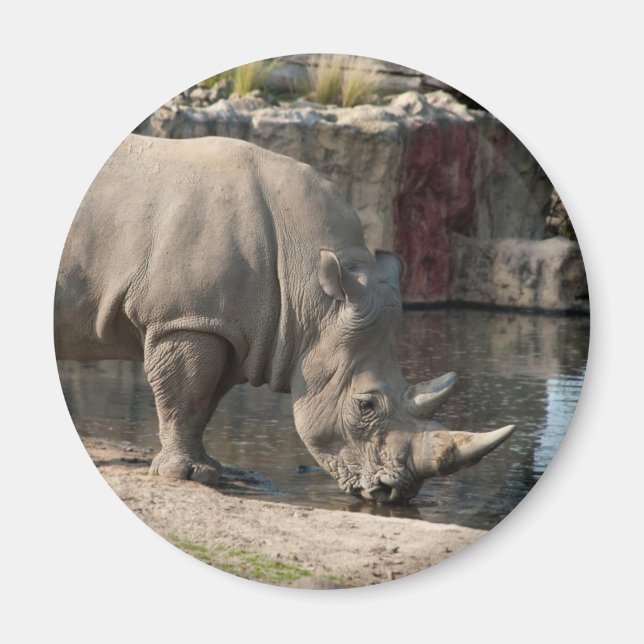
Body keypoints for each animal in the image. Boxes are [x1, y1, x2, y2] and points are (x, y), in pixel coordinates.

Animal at [55, 133, 515, 503]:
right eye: (365, 405)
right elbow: (184, 395)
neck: (313, 293)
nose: (394, 493)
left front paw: (208, 468)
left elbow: (204, 400)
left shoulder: (231, 329)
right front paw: (186, 476)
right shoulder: (187, 319)